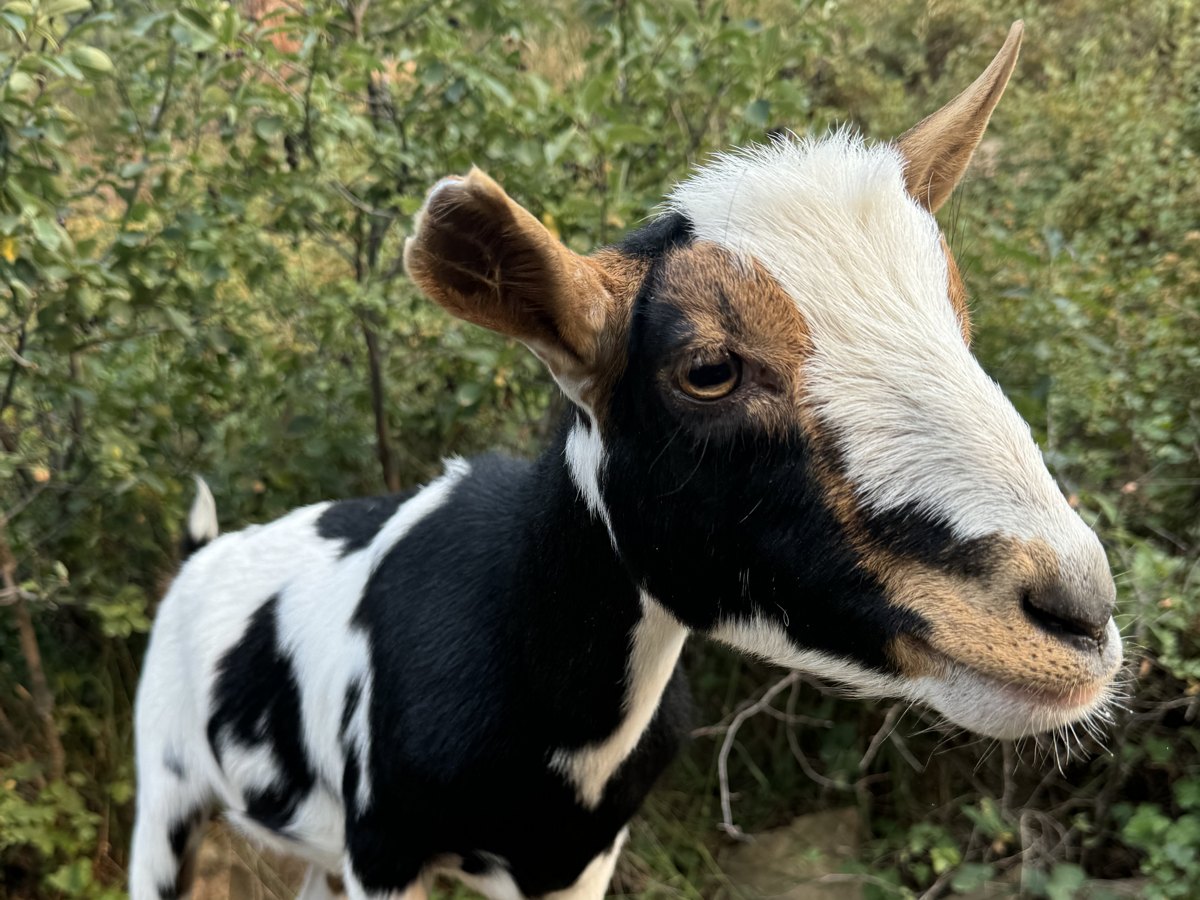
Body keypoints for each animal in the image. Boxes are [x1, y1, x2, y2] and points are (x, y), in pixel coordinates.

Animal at [131, 22, 1122, 900]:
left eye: (957, 314)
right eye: (709, 369)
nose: (1077, 613)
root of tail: (199, 554)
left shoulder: (579, 861)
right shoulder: (385, 847)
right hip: (165, 788)